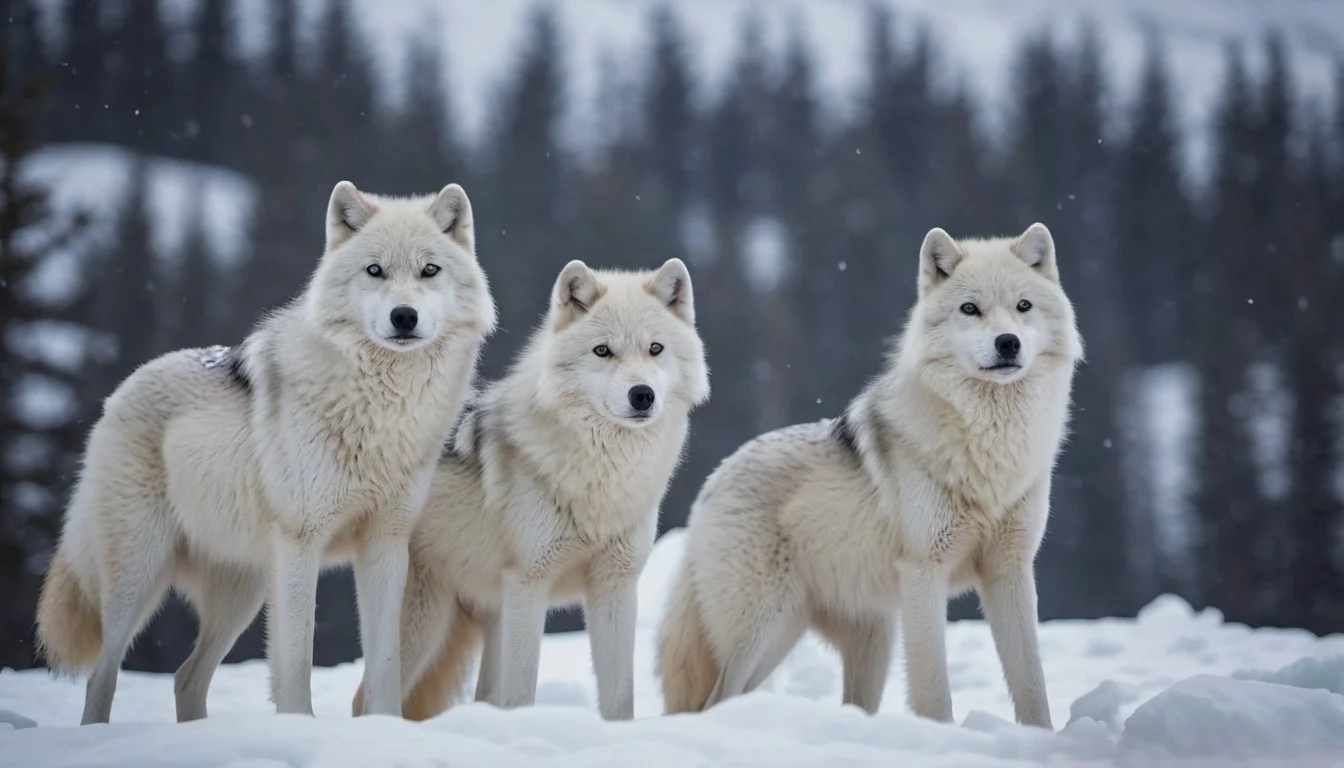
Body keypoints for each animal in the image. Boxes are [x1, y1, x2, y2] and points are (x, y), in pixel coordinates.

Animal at [36, 181, 497, 724]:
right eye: (374, 270)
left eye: (429, 270)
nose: (404, 316)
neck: (382, 411)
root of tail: (120, 392)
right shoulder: (301, 542)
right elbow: (296, 661)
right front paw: (299, 727)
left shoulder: (386, 542)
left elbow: (384, 664)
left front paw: (382, 727)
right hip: (139, 576)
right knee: (101, 676)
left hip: (243, 591)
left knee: (185, 678)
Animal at [350, 258, 710, 722]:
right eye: (603, 351)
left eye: (655, 349)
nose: (642, 395)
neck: (602, 480)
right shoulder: (528, 584)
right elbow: (521, 692)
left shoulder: (615, 584)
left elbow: (619, 698)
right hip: (424, 623)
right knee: (364, 696)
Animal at [656, 223, 1082, 728]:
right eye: (970, 308)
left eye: (1023, 306)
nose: (1008, 342)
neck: (989, 445)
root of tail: (712, 481)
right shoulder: (923, 572)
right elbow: (934, 692)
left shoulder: (1010, 572)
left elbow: (1032, 683)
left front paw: (1041, 737)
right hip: (763, 630)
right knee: (714, 700)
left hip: (859, 639)